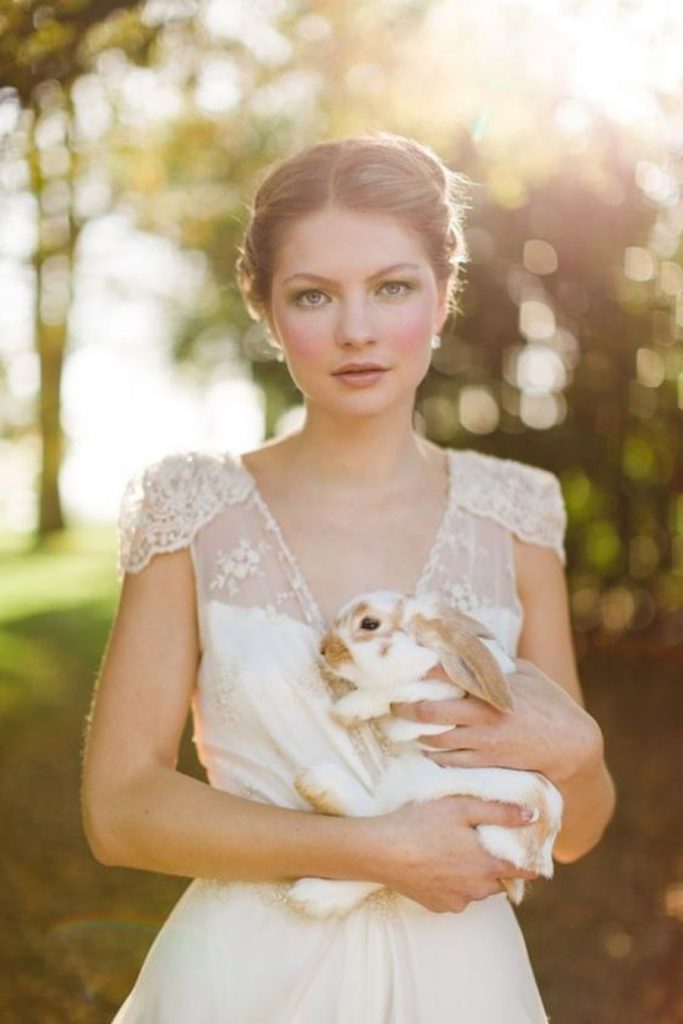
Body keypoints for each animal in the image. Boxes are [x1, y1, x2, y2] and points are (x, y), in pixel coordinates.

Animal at [286, 589, 561, 917]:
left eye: (369, 623)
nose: (324, 649)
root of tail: (533, 859)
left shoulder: (441, 700)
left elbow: (400, 690)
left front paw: (348, 710)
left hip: (430, 790)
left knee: (379, 822)